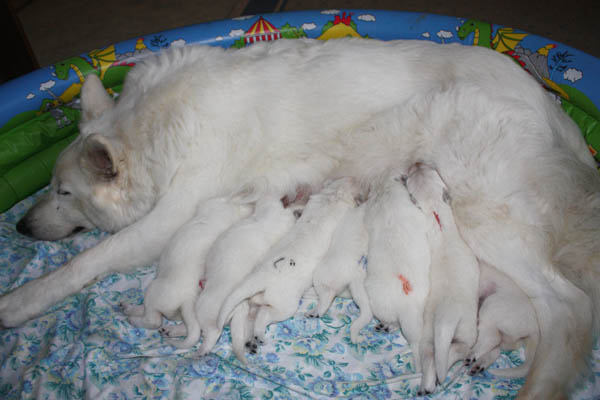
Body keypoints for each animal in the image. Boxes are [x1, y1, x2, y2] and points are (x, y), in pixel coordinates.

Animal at [217, 177, 362, 352]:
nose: (353, 178)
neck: (333, 196)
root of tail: (260, 278)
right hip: (286, 305)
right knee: (265, 314)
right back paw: (261, 335)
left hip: (256, 301)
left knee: (253, 316)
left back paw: (252, 340)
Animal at [405, 162, 479, 393]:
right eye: (411, 174)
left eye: (430, 170)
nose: (416, 162)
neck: (436, 212)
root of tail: (445, 321)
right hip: (467, 329)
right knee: (458, 348)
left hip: (427, 334)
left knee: (430, 356)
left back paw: (426, 386)